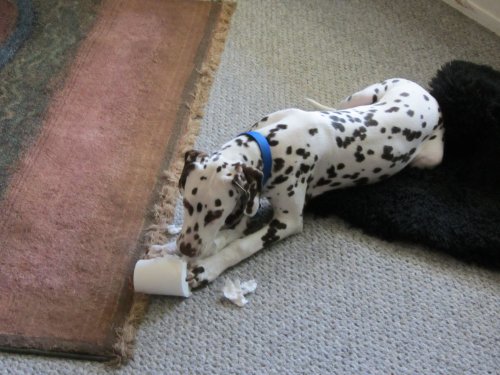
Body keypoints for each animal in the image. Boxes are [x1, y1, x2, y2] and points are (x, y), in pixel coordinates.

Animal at [175, 78, 442, 288]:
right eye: (186, 204)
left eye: (214, 213)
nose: (185, 249)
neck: (272, 144)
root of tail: (425, 92)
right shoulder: (251, 197)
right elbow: (238, 227)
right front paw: (214, 245)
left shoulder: (287, 223)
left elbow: (242, 246)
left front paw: (208, 268)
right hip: (356, 99)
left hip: (430, 157)